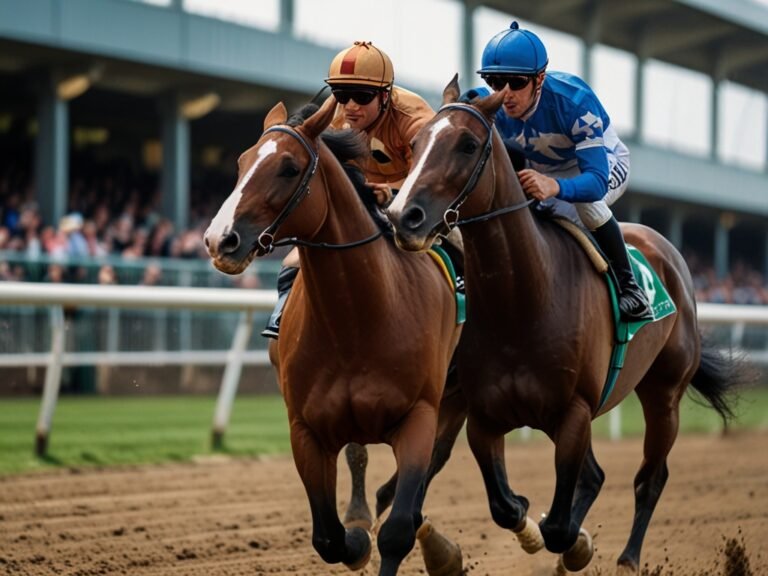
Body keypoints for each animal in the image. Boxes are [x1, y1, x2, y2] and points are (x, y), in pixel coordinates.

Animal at [203, 95, 466, 576]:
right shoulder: (305, 429)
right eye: (242, 162)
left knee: (430, 467)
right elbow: (328, 536)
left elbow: (398, 528)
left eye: (288, 168)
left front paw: (430, 545)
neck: (356, 320)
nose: (219, 239)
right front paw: (357, 536)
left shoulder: (420, 416)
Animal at [385, 77, 743, 575]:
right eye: (415, 143)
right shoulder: (484, 416)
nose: (403, 216)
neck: (522, 302)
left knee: (650, 477)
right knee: (596, 475)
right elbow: (505, 506)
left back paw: (628, 558)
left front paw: (574, 546)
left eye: (468, 144)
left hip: (664, 393)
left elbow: (558, 525)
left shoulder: (574, 412)